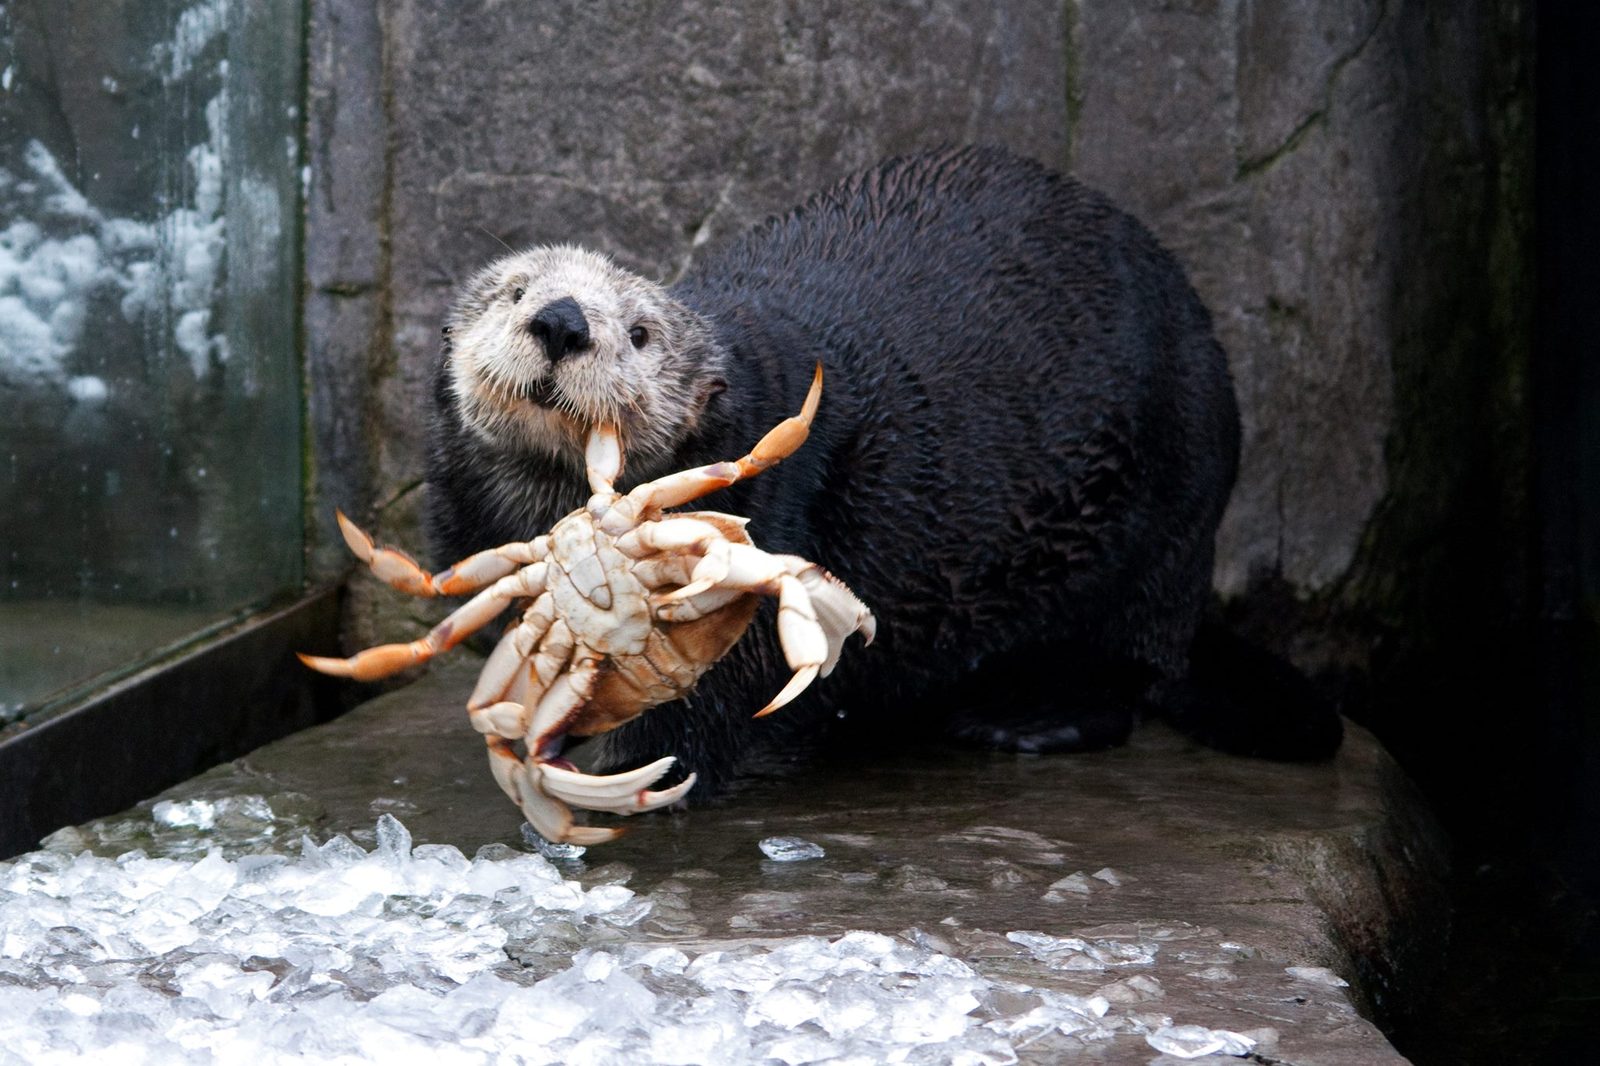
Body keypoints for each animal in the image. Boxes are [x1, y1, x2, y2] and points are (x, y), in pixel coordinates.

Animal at [422, 143, 1337, 787]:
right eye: (514, 292)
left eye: (641, 333)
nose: (562, 319)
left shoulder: (762, 553)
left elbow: (698, 716)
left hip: (1166, 506)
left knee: (1129, 671)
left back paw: (1021, 719)